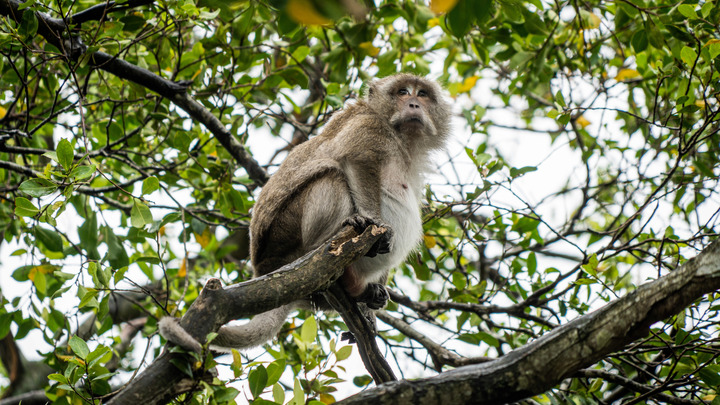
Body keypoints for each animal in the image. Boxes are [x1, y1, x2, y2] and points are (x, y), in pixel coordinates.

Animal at [160, 72, 450, 350]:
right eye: (402, 92)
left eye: (422, 94)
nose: (413, 104)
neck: (400, 137)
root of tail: (263, 269)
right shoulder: (368, 127)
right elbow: (357, 161)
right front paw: (373, 222)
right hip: (285, 235)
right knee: (332, 177)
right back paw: (327, 256)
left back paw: (360, 292)